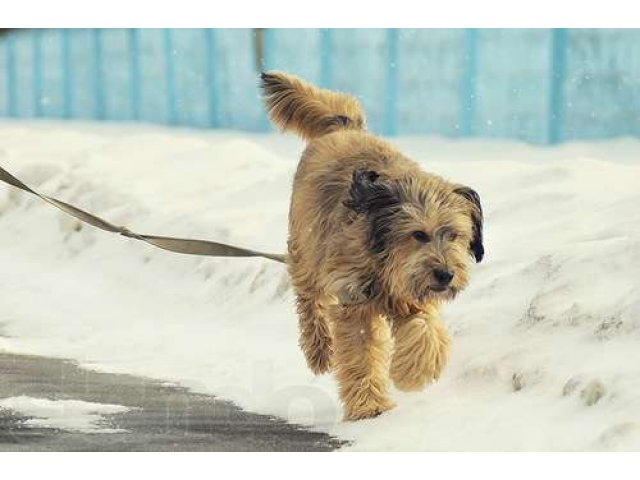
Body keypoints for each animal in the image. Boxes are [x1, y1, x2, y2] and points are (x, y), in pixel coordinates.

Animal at [258, 71, 482, 420]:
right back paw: (318, 349)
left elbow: (425, 328)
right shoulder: (354, 298)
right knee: (309, 301)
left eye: (455, 235)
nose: (445, 275)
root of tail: (343, 127)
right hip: (306, 249)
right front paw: (370, 406)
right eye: (418, 234)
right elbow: (360, 352)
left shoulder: (410, 296)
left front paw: (413, 372)